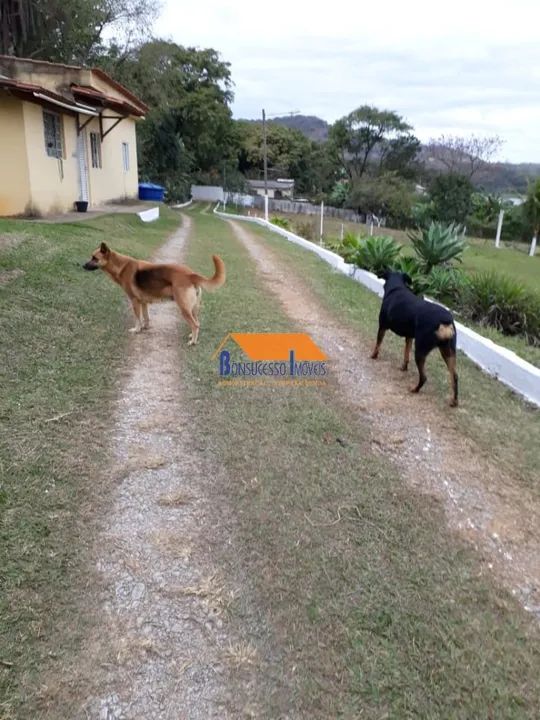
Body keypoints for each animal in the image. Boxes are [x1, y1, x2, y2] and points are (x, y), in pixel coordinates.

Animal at [81, 243, 224, 344]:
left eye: (94, 258)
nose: (83, 266)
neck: (121, 266)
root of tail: (191, 275)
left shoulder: (134, 301)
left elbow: (137, 318)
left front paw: (136, 330)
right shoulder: (143, 302)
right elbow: (146, 317)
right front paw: (145, 327)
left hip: (184, 308)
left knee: (195, 324)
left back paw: (193, 342)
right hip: (193, 309)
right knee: (197, 323)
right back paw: (191, 335)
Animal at [374, 270, 458, 404]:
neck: (397, 287)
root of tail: (445, 320)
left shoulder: (382, 327)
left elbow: (377, 344)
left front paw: (373, 356)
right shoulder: (409, 337)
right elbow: (406, 355)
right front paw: (404, 368)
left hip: (421, 350)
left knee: (424, 377)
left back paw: (414, 389)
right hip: (448, 352)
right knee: (454, 376)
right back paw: (454, 402)